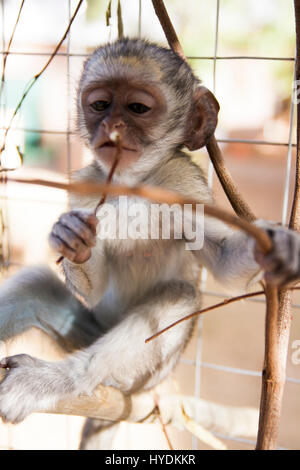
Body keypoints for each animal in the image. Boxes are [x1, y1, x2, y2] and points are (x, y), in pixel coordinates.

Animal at [0, 38, 300, 438]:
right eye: (100, 105)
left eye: (137, 108)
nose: (111, 126)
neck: (133, 182)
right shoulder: (86, 186)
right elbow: (93, 285)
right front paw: (74, 238)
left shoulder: (185, 184)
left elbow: (225, 262)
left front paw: (279, 245)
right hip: (86, 332)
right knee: (34, 288)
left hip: (142, 376)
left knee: (178, 296)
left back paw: (59, 380)